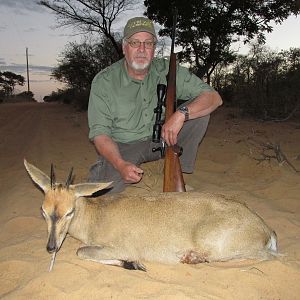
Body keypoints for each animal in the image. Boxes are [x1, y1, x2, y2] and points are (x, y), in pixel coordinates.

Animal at [24, 159, 278, 272]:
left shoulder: (119, 247)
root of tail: (267, 230)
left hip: (220, 246)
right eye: (43, 211)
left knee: (263, 257)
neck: (96, 216)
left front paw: (133, 264)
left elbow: (82, 251)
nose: (51, 247)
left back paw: (190, 258)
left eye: (70, 212)